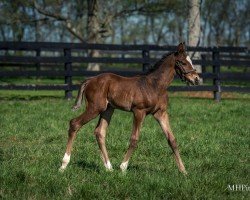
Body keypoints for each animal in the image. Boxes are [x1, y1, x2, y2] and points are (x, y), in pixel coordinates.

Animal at [59, 43, 200, 174]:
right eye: (183, 62)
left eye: (191, 61)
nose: (196, 79)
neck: (155, 86)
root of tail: (90, 80)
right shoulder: (139, 111)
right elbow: (134, 139)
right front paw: (123, 167)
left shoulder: (161, 113)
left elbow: (172, 140)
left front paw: (183, 171)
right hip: (95, 108)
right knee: (75, 123)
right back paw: (64, 165)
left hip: (108, 109)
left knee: (100, 132)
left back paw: (109, 167)